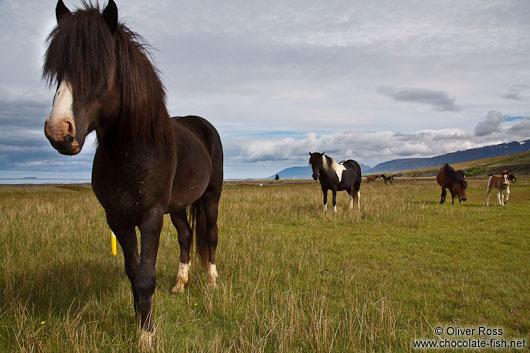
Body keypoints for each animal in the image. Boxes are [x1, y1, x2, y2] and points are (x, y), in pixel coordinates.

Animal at [42, 1, 222, 346]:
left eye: (98, 69)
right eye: (58, 70)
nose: (59, 132)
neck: (131, 153)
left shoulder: (150, 217)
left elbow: (145, 276)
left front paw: (146, 335)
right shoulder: (118, 218)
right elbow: (132, 272)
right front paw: (139, 317)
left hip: (210, 197)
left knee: (210, 236)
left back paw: (211, 283)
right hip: (177, 206)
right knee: (186, 235)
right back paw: (179, 284)